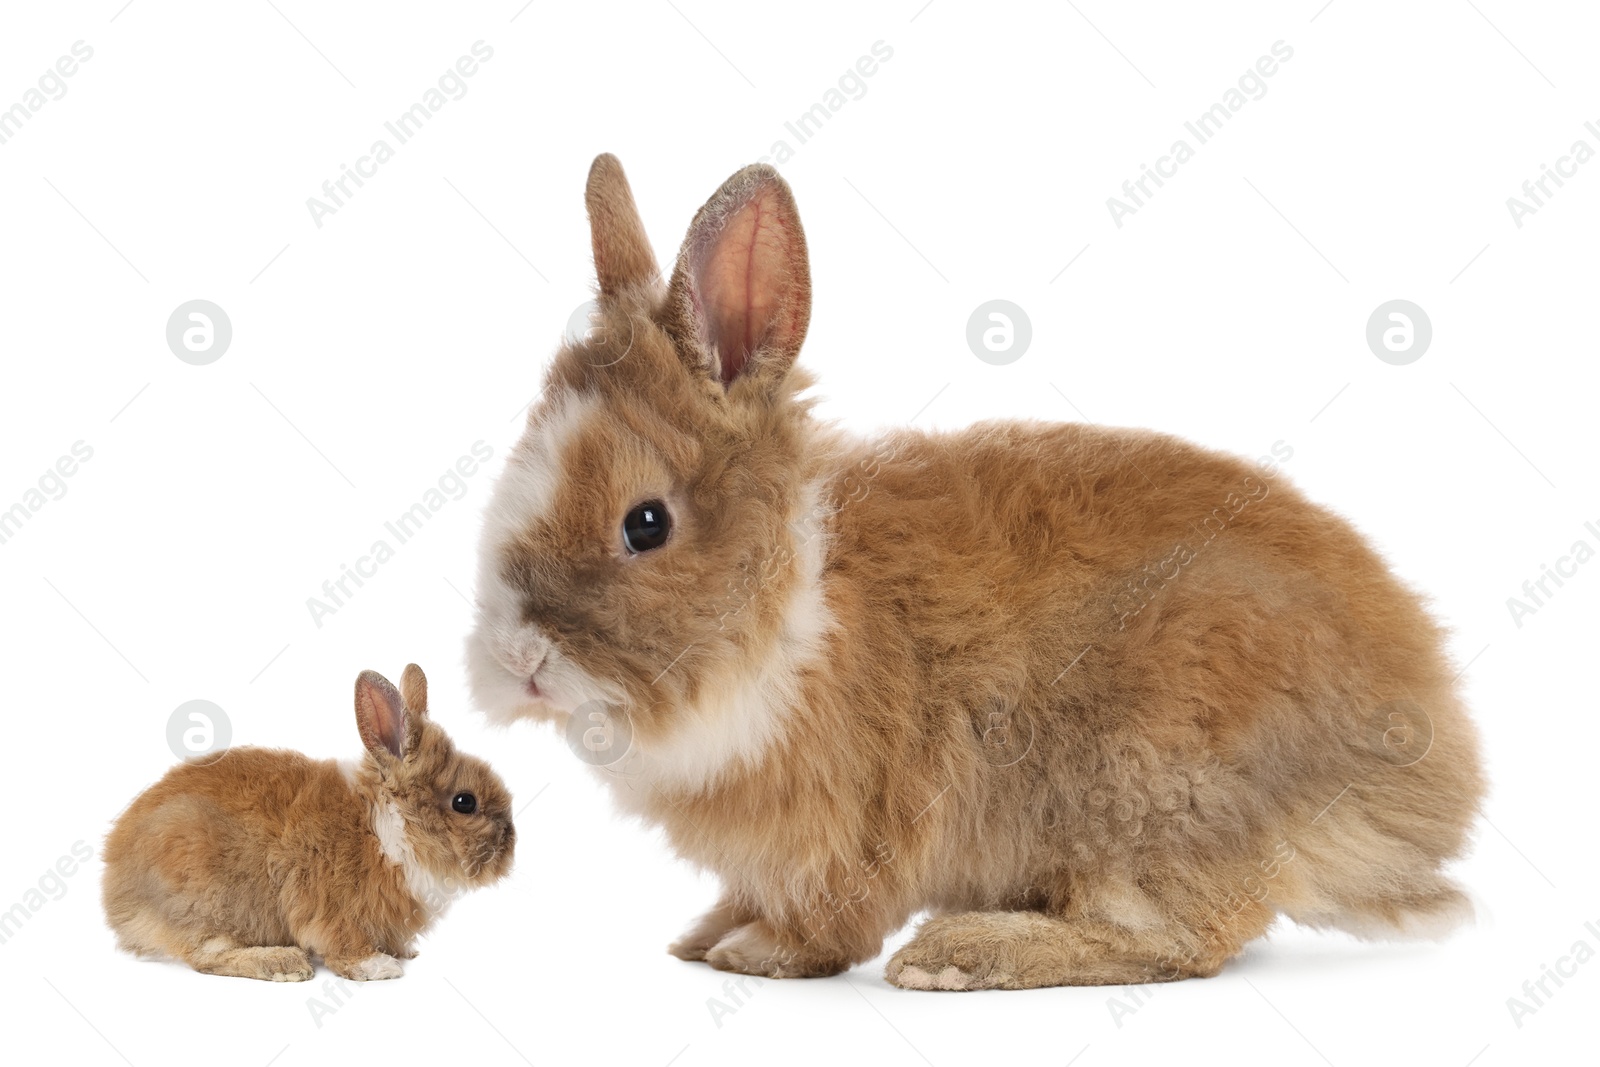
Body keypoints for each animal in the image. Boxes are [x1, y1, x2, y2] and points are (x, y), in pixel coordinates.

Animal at [103, 668, 515, 985]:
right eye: (465, 802)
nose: (510, 843)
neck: (385, 830)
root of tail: (116, 893)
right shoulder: (332, 912)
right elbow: (346, 949)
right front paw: (380, 966)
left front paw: (405, 952)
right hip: (208, 895)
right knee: (205, 955)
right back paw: (283, 962)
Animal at [467, 154, 1484, 991]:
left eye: (646, 524)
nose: (519, 661)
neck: (797, 601)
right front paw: (704, 934)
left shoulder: (849, 832)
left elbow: (827, 922)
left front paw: (755, 953)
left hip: (1148, 786)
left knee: (1177, 938)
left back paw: (961, 951)